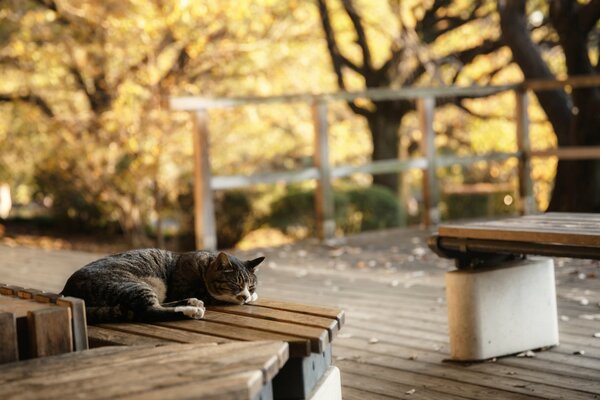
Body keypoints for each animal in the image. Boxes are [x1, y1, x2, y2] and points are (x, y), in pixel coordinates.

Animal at [60, 248, 262, 324]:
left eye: (251, 286)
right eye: (235, 284)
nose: (246, 295)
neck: (204, 266)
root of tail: (66, 290)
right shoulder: (185, 287)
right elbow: (216, 297)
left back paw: (191, 303)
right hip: (133, 284)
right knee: (150, 310)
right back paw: (191, 310)